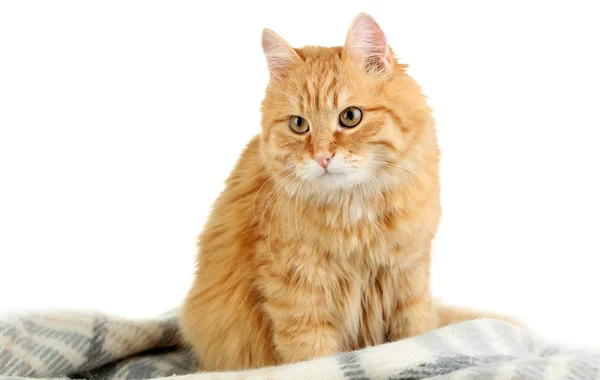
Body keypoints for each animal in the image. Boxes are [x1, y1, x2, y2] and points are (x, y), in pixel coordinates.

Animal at [179, 12, 510, 372]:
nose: (322, 157)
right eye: (298, 124)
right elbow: (314, 358)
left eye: (350, 117)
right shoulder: (297, 298)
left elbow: (414, 335)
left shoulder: (409, 281)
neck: (354, 213)